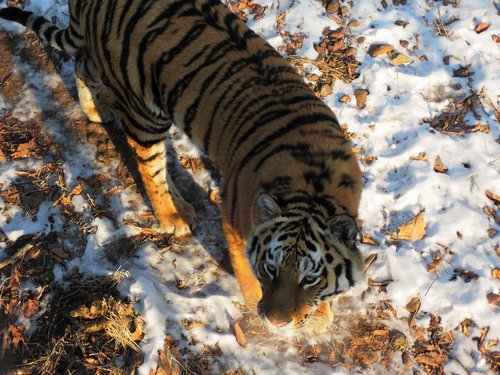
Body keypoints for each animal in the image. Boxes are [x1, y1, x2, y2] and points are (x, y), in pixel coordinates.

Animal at [1, 0, 366, 340]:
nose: (277, 321)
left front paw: (319, 314)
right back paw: (172, 216)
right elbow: (247, 276)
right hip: (146, 112)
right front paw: (255, 309)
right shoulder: (235, 222)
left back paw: (97, 111)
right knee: (149, 165)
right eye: (270, 268)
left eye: (310, 278)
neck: (312, 189)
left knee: (83, 63)